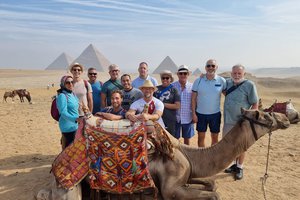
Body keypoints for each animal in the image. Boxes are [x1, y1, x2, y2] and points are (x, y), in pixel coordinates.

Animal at [36, 108, 290, 199]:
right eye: (265, 115)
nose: (289, 118)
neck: (189, 154)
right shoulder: (170, 188)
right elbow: (214, 194)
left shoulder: (186, 175)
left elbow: (211, 184)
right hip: (70, 188)